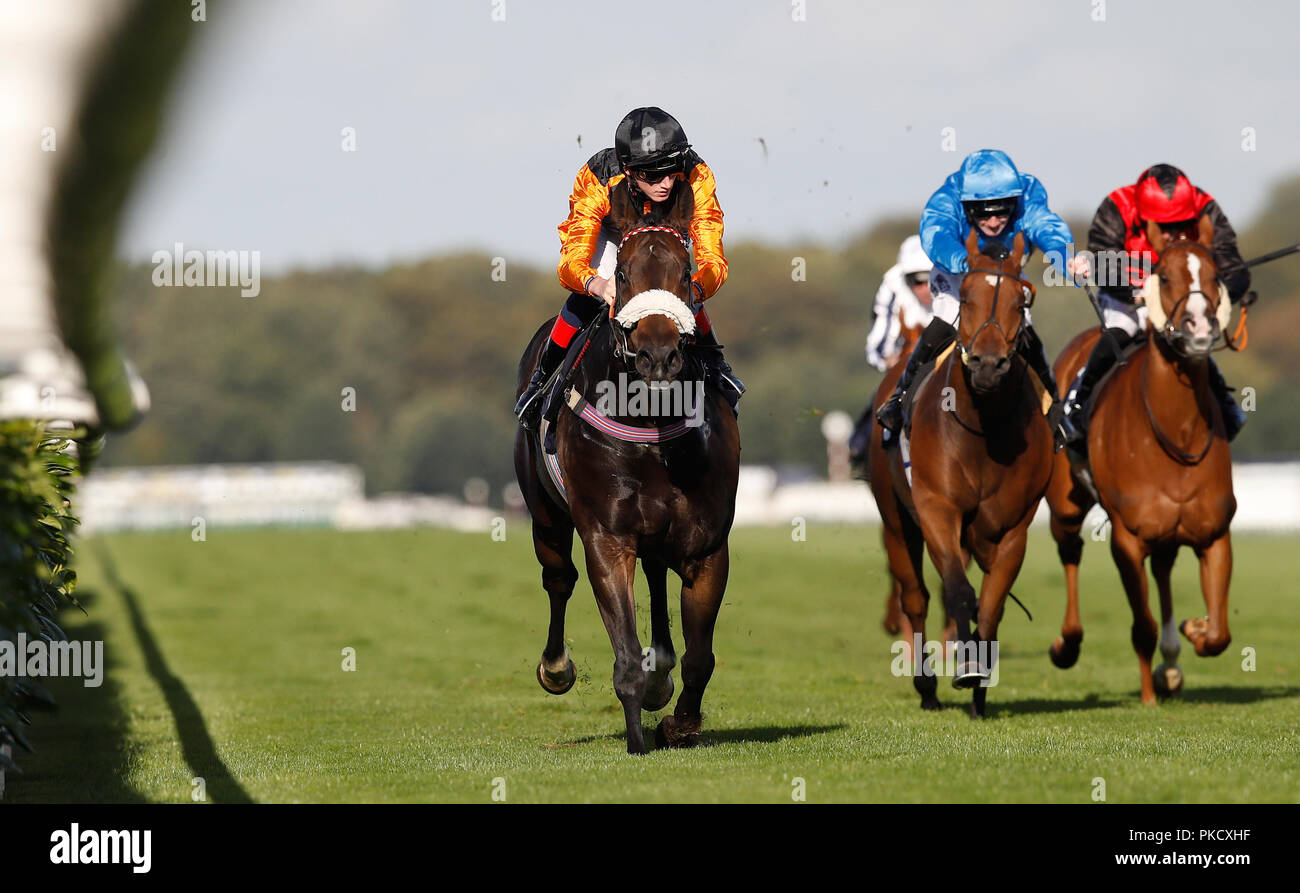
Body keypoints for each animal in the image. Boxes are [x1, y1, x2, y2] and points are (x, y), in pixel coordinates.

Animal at [514, 176, 743, 753]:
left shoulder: (707, 544)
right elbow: (623, 656)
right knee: (558, 578)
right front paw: (638, 738)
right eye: (621, 274)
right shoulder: (607, 538)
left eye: (685, 274)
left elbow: (700, 657)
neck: (651, 429)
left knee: (657, 576)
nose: (657, 356)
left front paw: (679, 724)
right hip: (545, 514)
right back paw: (557, 668)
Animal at [868, 232, 1050, 717]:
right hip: (897, 520)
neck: (984, 430)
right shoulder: (938, 508)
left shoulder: (1011, 528)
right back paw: (926, 685)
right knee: (915, 596)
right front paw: (966, 669)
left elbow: (991, 603)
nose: (988, 364)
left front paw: (981, 684)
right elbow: (958, 590)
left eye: (1020, 300)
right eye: (965, 297)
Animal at [1040, 217, 1232, 707]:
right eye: (1163, 276)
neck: (1176, 432)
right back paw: (1066, 644)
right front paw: (1147, 697)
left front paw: (1194, 628)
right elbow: (1141, 623)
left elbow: (1219, 633)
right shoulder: (1128, 537)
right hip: (1065, 503)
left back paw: (1172, 661)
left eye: (1215, 273)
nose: (1199, 325)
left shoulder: (1214, 532)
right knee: (1069, 550)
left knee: (1162, 569)